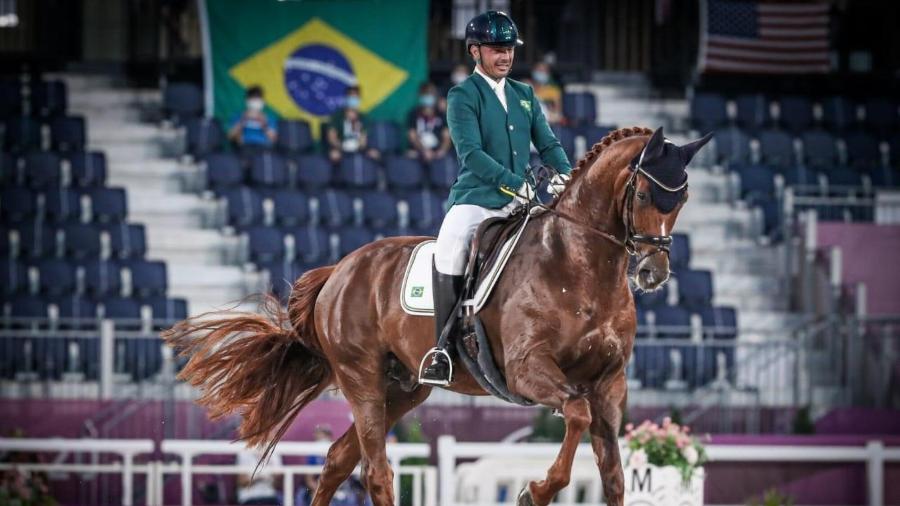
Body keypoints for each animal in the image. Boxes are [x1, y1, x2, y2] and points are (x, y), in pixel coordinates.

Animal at [163, 126, 712, 506]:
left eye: (683, 198)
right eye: (644, 194)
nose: (653, 272)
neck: (579, 265)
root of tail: (341, 269)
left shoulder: (609, 384)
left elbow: (614, 474)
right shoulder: (530, 370)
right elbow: (574, 417)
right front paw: (533, 491)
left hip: (404, 388)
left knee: (340, 459)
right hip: (362, 377)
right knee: (376, 470)